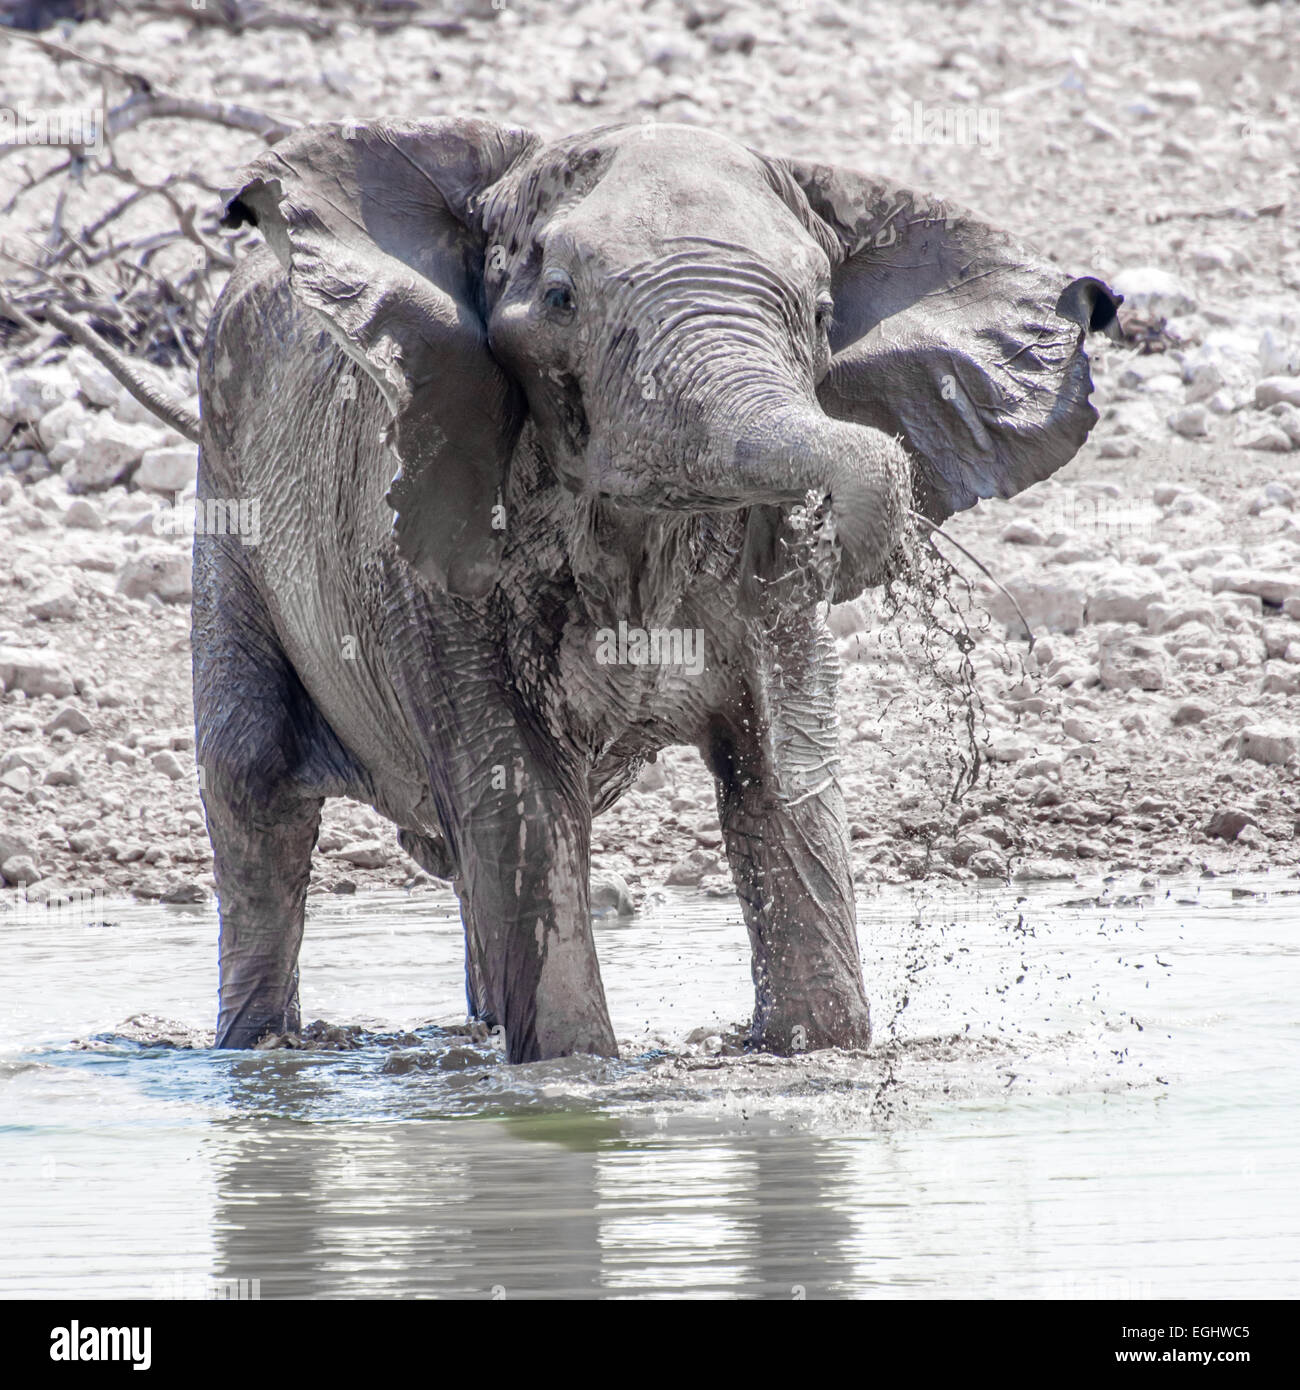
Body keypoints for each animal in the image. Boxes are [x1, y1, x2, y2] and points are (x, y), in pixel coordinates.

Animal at [155, 116, 1117, 1061]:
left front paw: (817, 1052)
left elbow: (787, 782)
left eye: (821, 315)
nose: (835, 534)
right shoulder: (429, 545)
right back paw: (256, 1052)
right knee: (254, 791)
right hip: (227, 499)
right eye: (559, 301)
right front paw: (575, 1075)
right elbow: (518, 799)